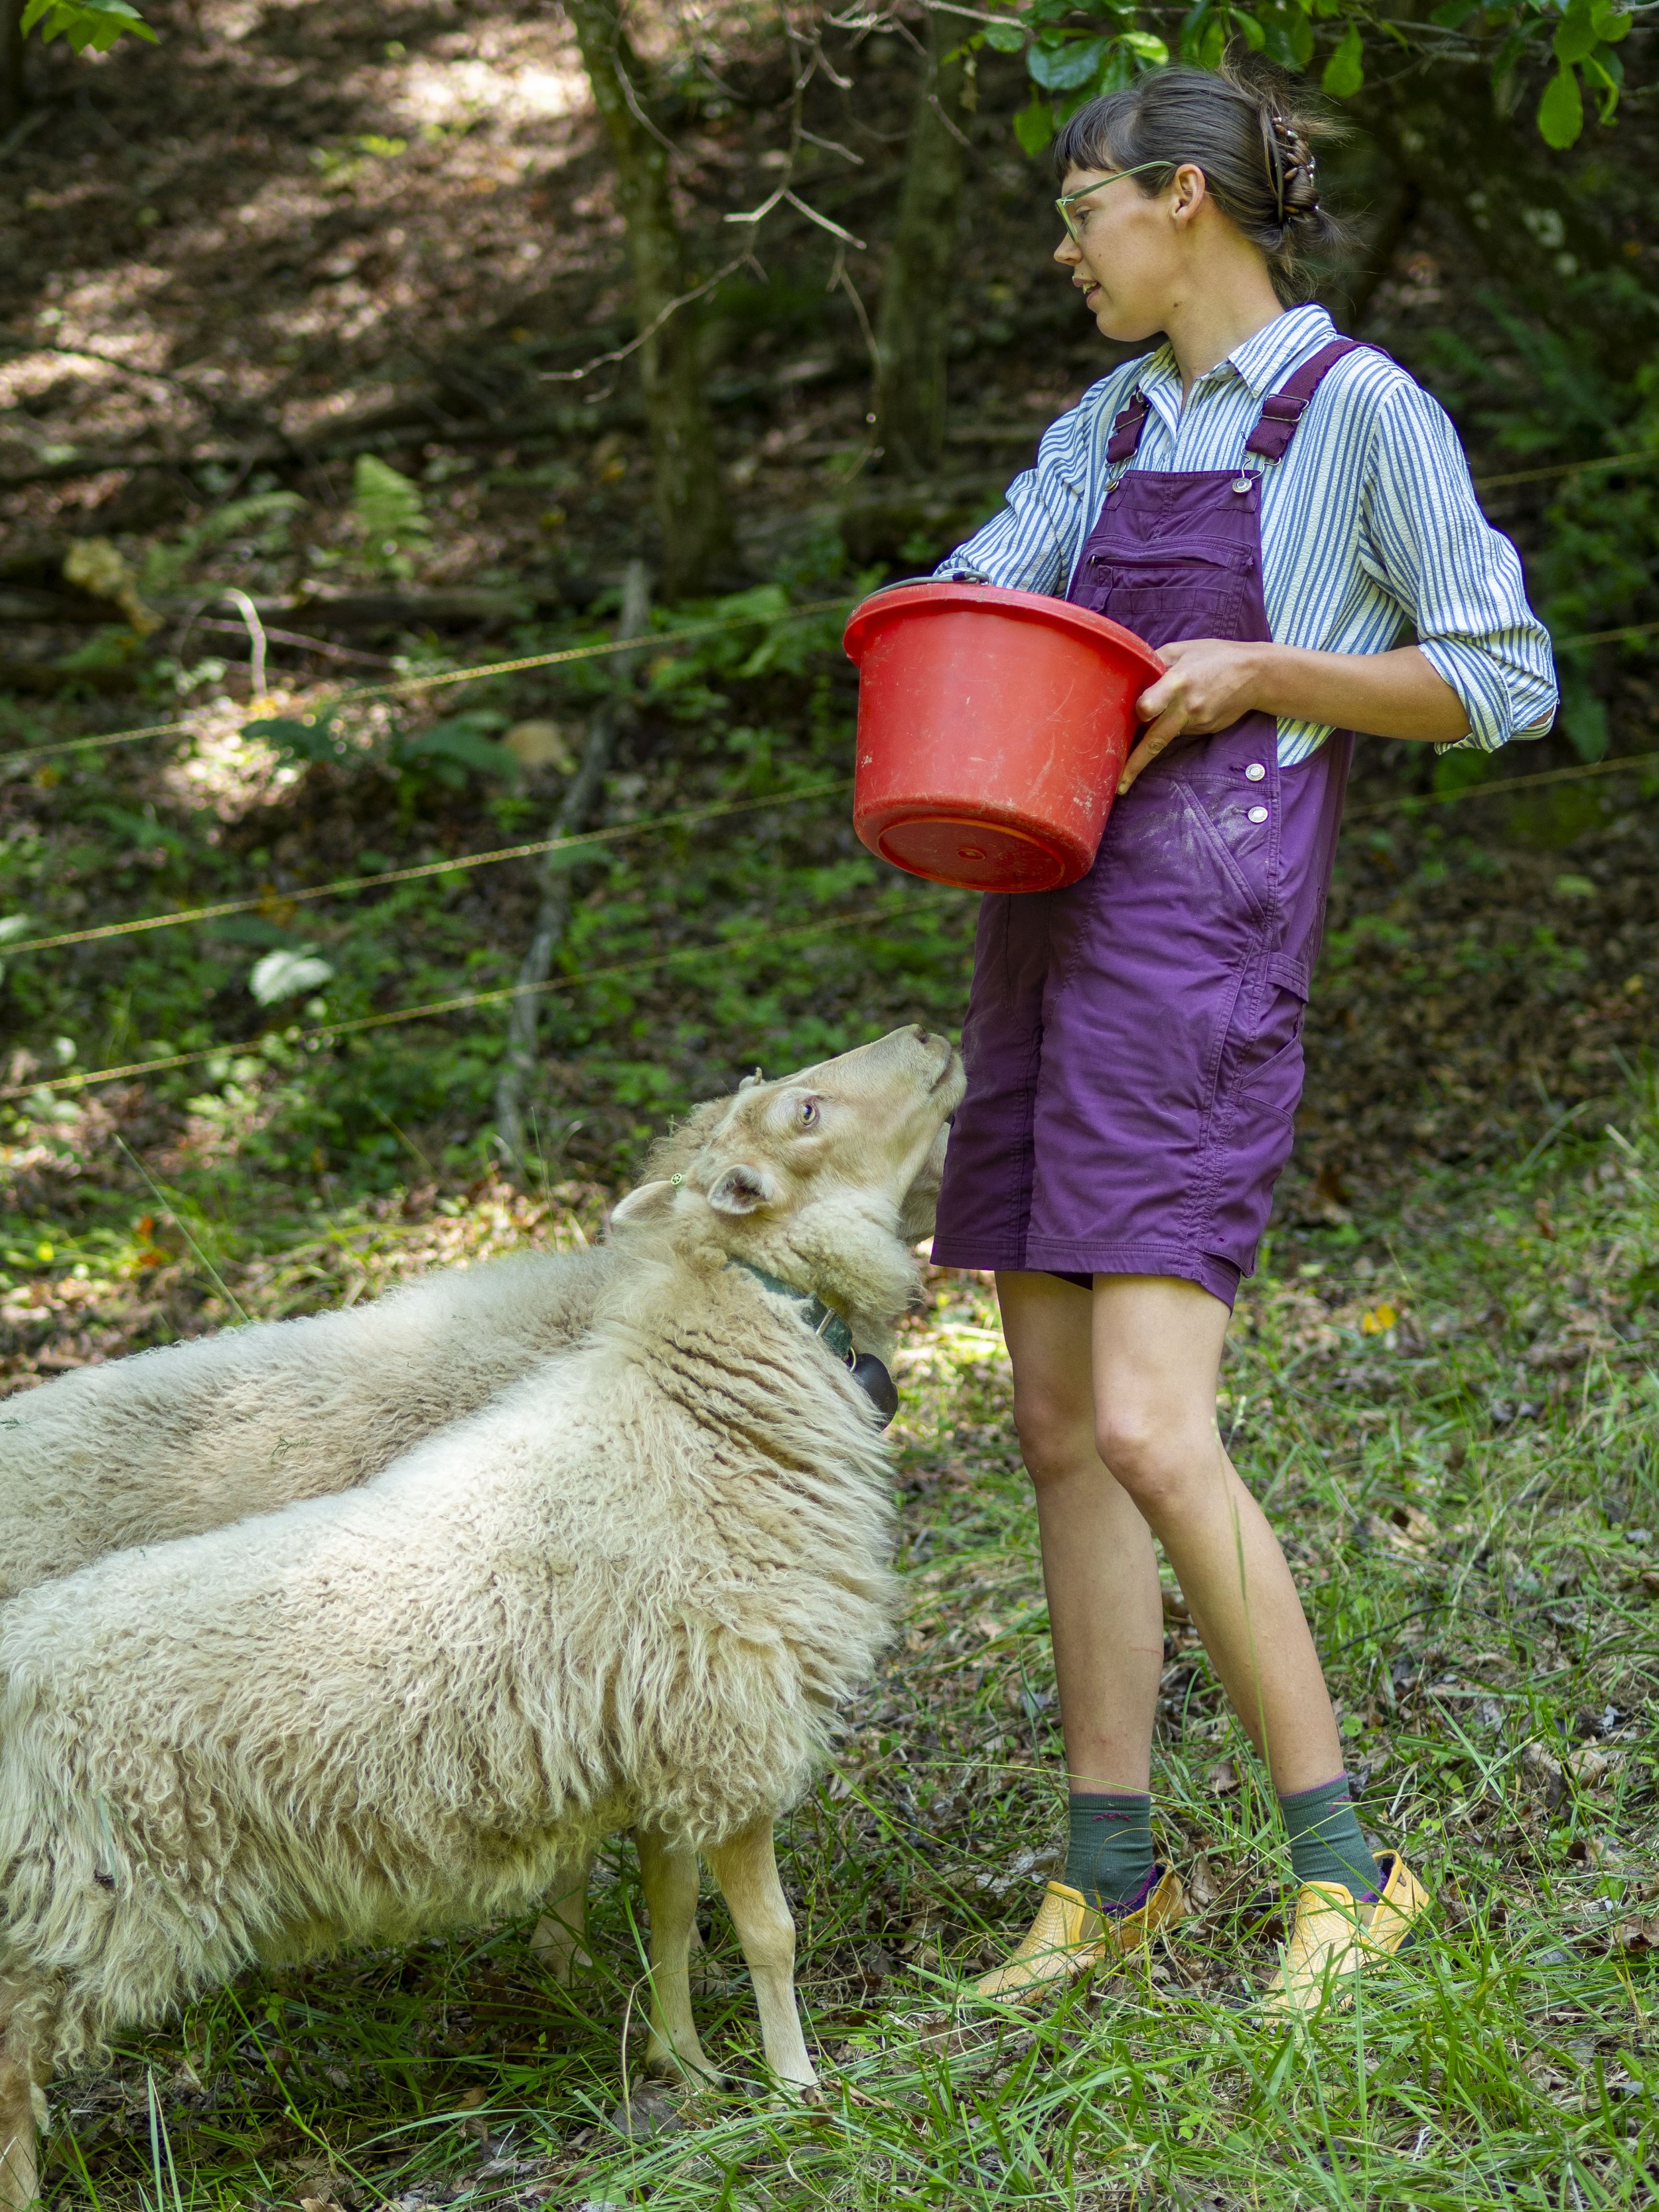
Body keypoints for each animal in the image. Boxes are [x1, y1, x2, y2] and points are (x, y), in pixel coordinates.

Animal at [0, 1024, 964, 2209]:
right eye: (807, 1112)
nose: (932, 1036)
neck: (704, 1402)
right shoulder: (735, 1725)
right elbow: (768, 1934)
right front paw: (799, 2088)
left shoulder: (667, 1732)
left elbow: (673, 1913)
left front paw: (684, 2066)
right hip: (86, 1903)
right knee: (11, 2063)